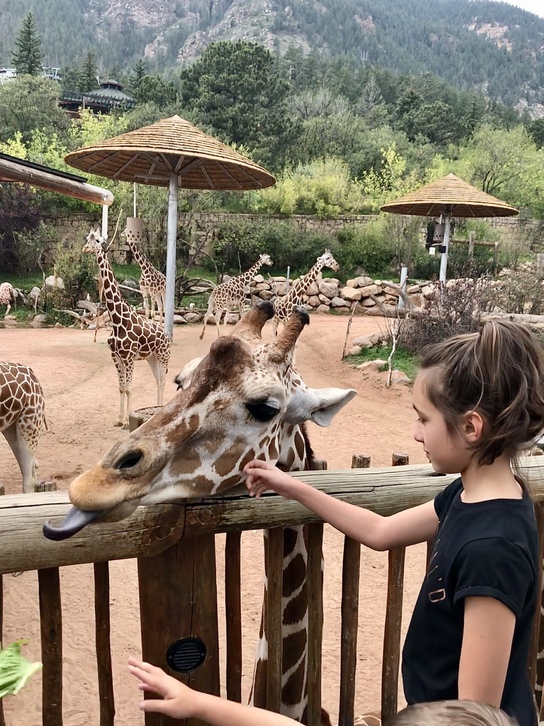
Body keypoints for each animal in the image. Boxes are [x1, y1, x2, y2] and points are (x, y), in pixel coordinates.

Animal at [83, 228, 170, 430]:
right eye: (87, 238)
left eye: (97, 240)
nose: (85, 249)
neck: (117, 320)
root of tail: (166, 336)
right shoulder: (116, 356)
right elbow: (122, 387)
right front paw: (119, 419)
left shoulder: (129, 357)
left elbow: (130, 388)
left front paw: (126, 423)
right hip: (151, 357)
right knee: (157, 380)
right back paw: (156, 410)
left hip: (163, 355)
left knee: (162, 380)